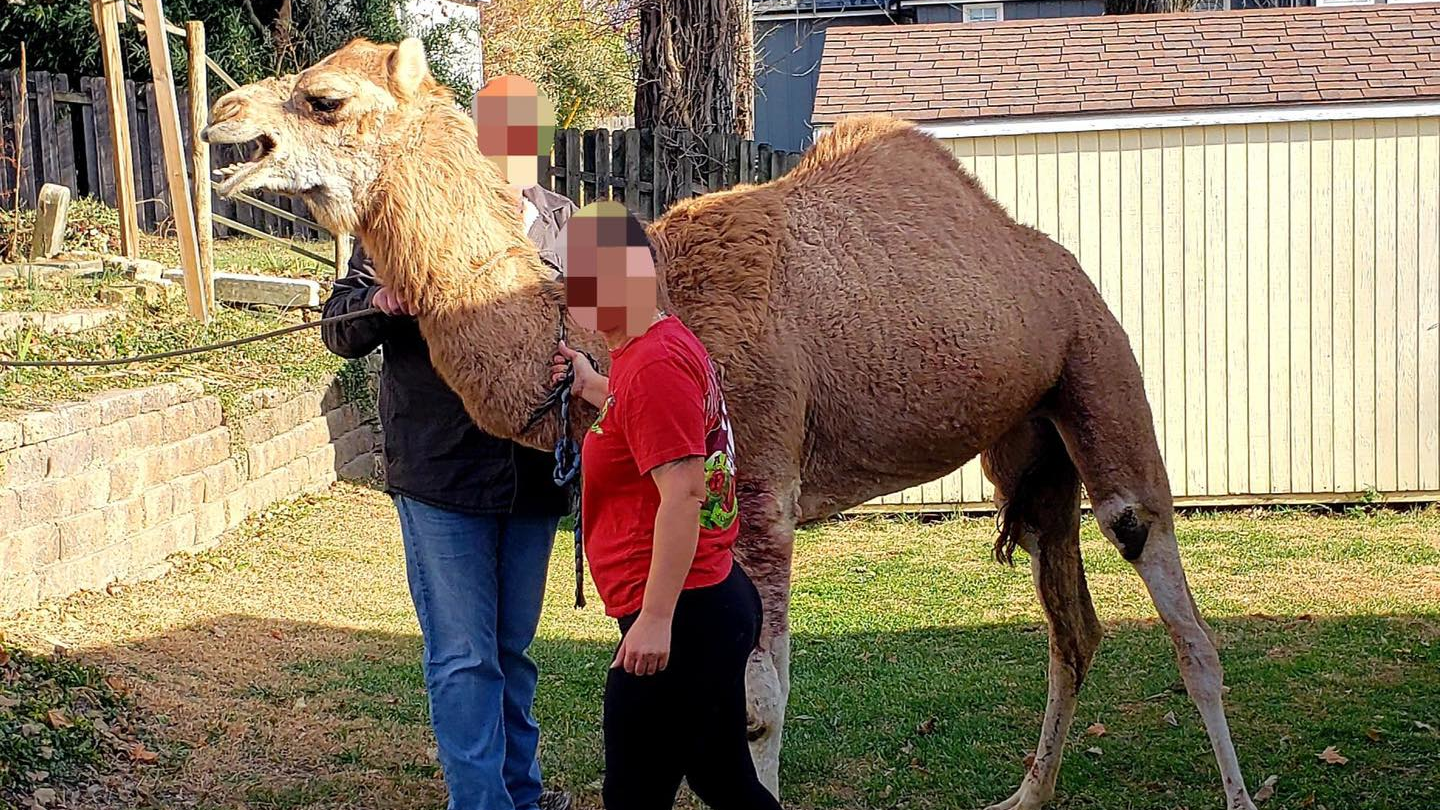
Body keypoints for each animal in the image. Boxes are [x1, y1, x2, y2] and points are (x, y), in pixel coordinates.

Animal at [202, 37, 1258, 810]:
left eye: (324, 98)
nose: (221, 115)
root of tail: (1053, 266)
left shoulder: (758, 483)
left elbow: (758, 705)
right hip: (1029, 449)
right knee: (1071, 624)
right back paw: (1025, 796)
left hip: (1097, 367)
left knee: (1174, 599)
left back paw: (1237, 792)